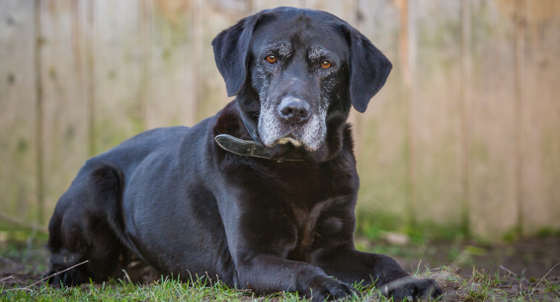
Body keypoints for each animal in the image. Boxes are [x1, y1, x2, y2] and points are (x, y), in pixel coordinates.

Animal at [47, 7, 442, 302]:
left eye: (327, 64)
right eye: (270, 57)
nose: (293, 112)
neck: (296, 166)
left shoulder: (333, 248)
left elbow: (383, 260)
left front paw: (411, 283)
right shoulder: (251, 259)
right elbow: (303, 268)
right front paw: (328, 286)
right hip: (97, 184)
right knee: (63, 265)